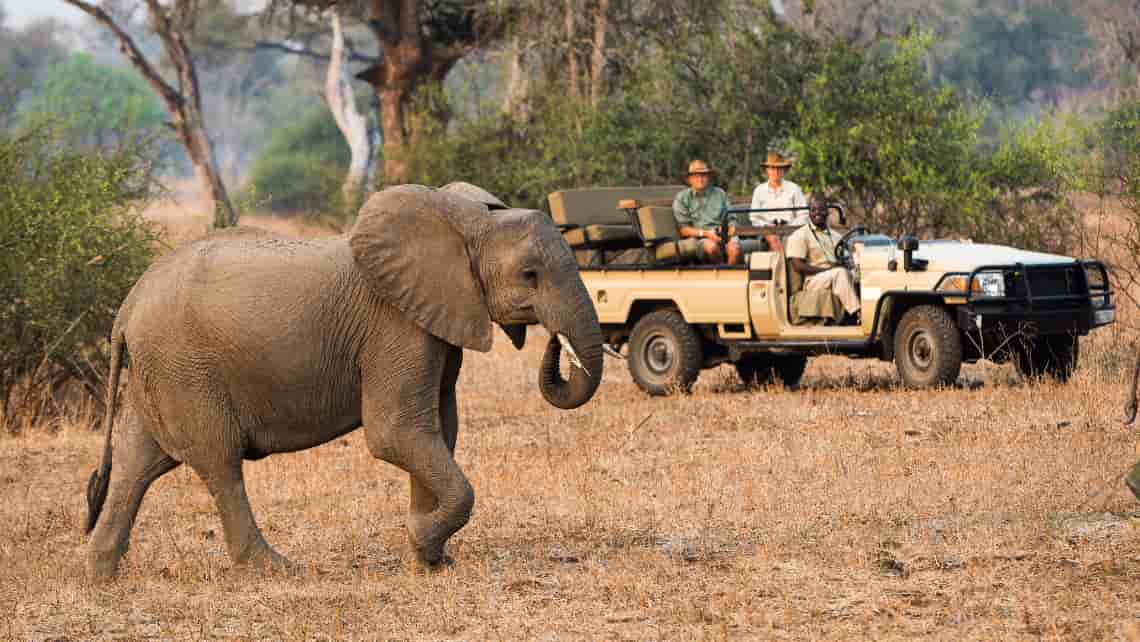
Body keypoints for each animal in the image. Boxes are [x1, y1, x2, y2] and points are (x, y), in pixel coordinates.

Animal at [83, 183, 601, 579]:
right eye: (530, 275)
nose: (554, 342)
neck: (464, 220)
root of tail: (127, 305)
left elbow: (439, 429)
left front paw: (430, 560)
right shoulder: (394, 325)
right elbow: (396, 433)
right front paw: (420, 541)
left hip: (160, 368)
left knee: (137, 462)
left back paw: (101, 573)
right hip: (186, 368)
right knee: (220, 462)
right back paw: (275, 570)